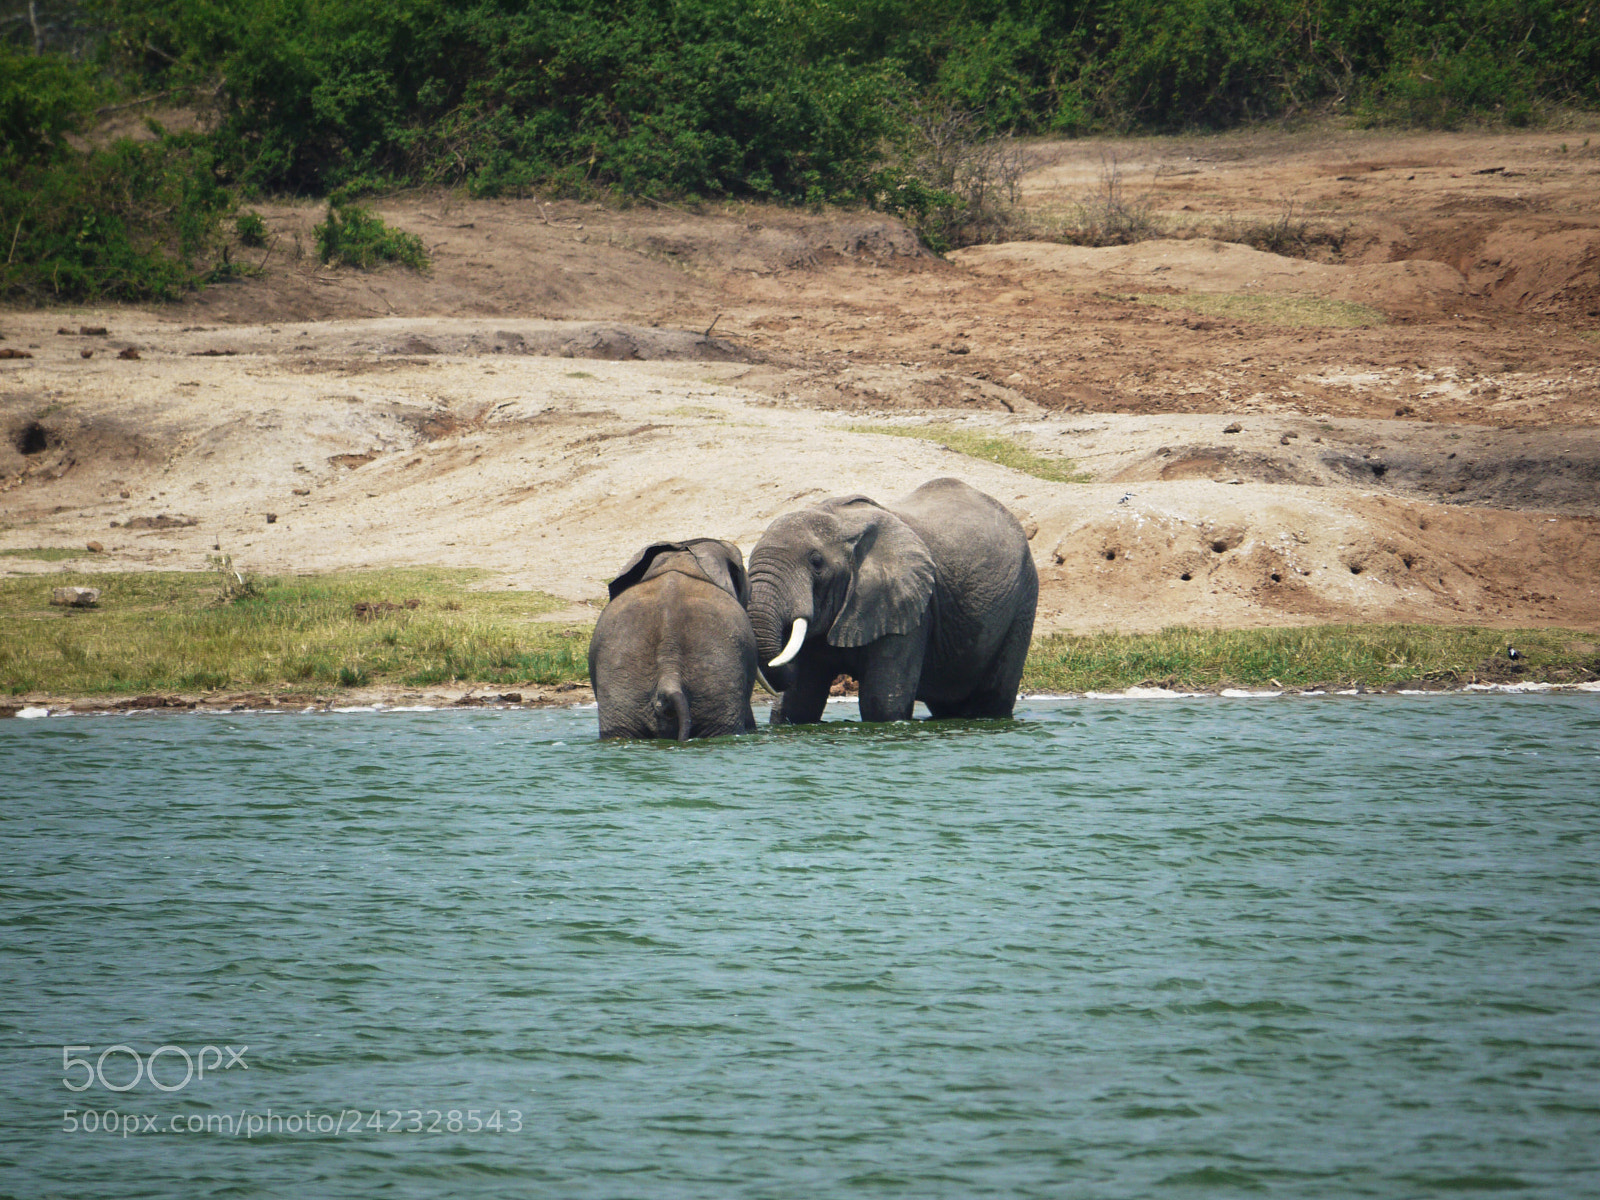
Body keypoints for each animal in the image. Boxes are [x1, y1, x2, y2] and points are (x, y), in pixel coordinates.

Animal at [747, 477, 1038, 724]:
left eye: (816, 562)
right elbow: (798, 703)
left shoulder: (909, 607)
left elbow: (881, 705)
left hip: (1023, 600)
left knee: (993, 699)